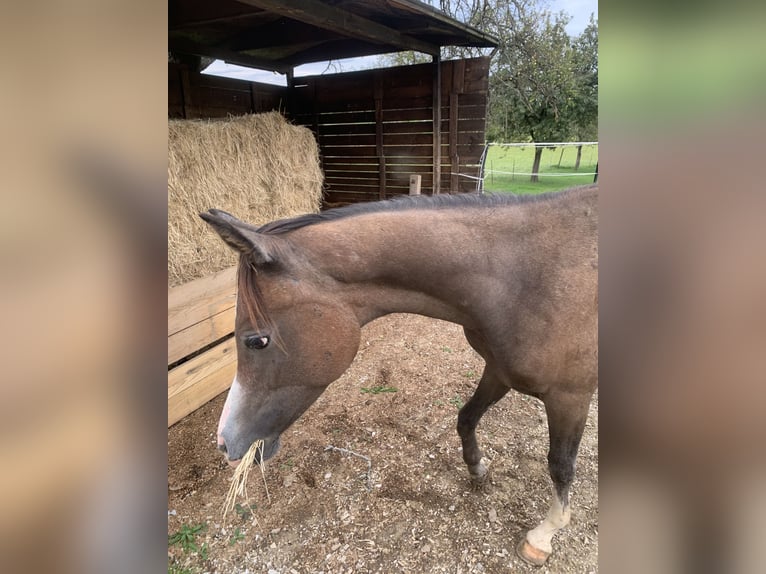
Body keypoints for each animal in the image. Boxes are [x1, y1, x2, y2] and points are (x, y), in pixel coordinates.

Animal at [204, 186, 600, 568]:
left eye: (257, 341)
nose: (225, 443)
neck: (521, 277)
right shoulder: (498, 370)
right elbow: (466, 417)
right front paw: (477, 469)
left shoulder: (570, 397)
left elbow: (561, 466)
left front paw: (543, 536)